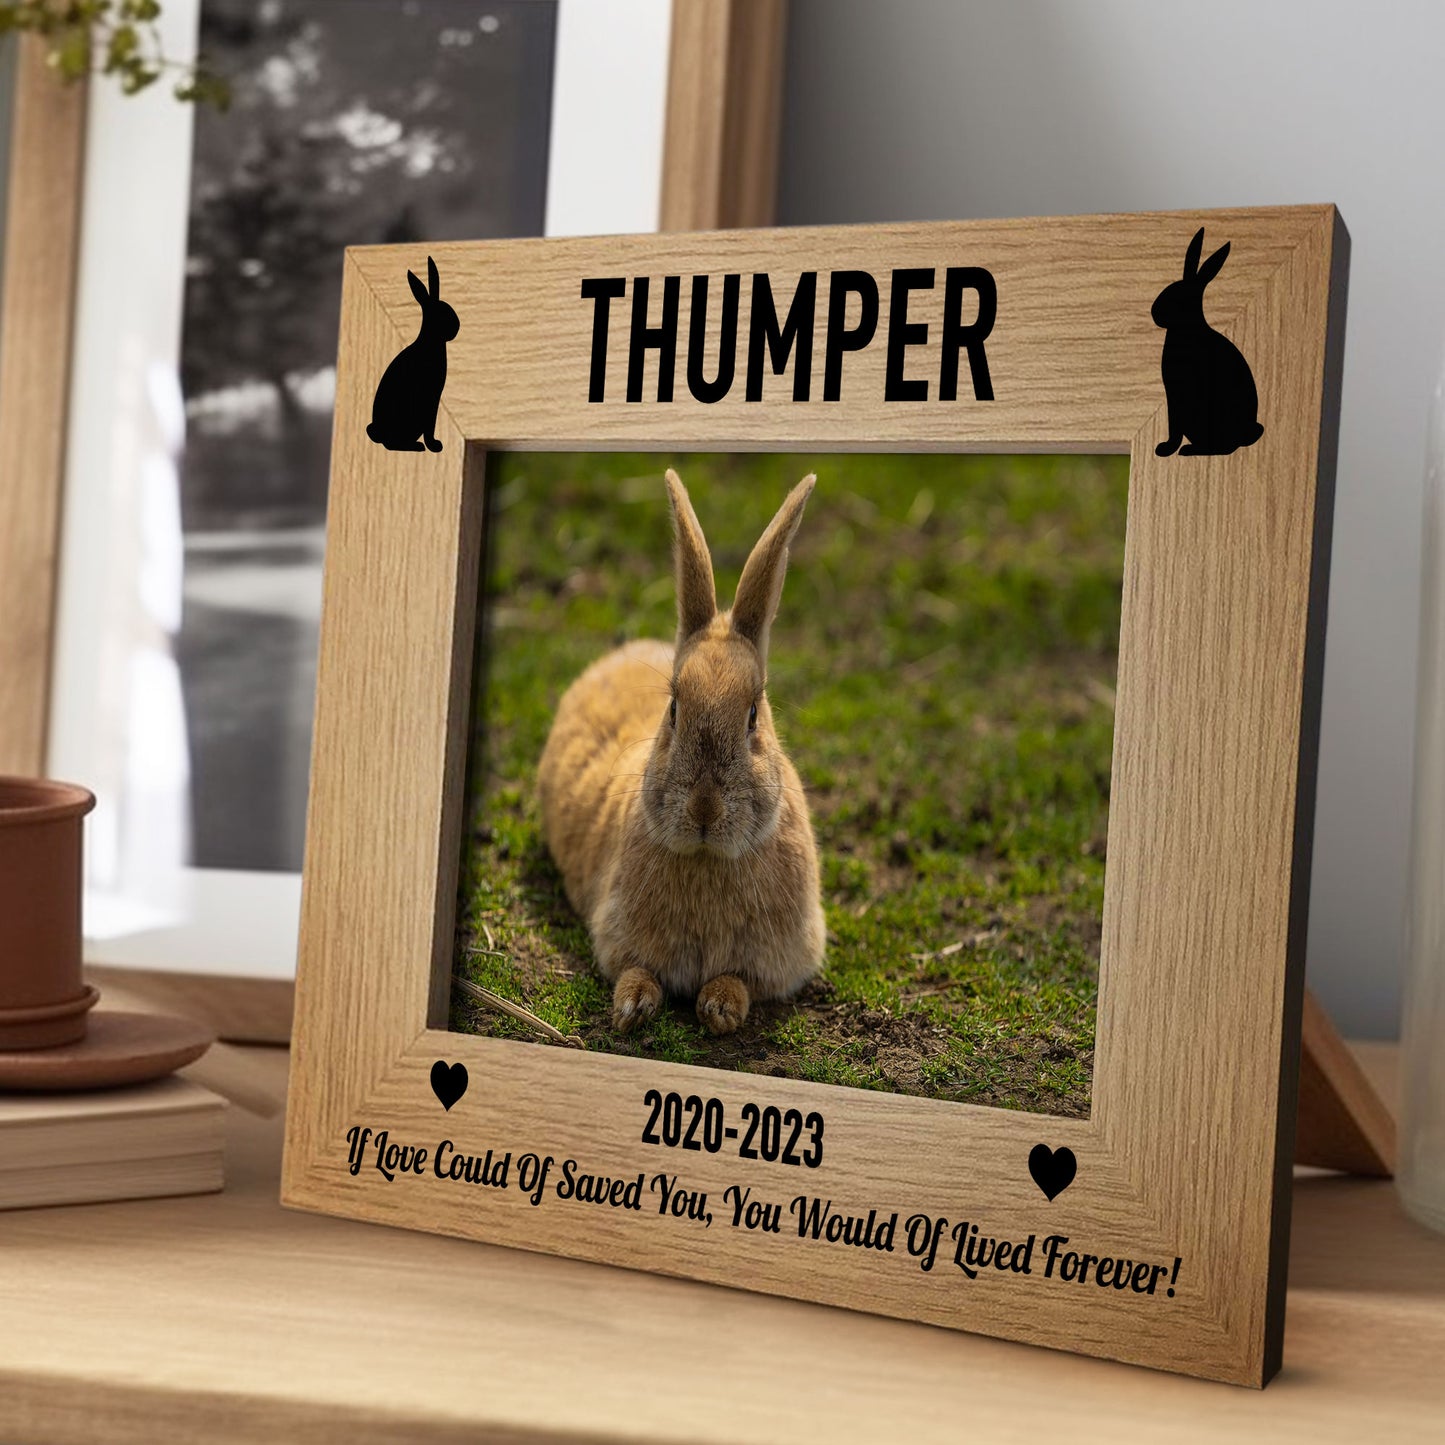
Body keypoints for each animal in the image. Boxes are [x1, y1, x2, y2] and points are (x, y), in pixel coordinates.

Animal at [366, 256, 459, 453]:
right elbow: (430, 426)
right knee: (392, 444)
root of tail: (379, 433)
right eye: (442, 314)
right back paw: (416, 446)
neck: (431, 342)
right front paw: (434, 445)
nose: (456, 327)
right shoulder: (431, 397)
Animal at [537, 469, 826, 1036]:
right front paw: (632, 1007)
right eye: (673, 708)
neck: (709, 857)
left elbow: (739, 981)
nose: (704, 809)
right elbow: (635, 969)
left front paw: (719, 1007)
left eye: (753, 714)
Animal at [1152, 227, 1264, 457]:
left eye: (1178, 298)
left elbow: (1174, 428)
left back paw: (1190, 450)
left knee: (1224, 447)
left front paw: (1165, 449)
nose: (1154, 313)